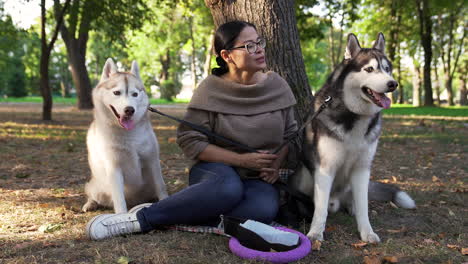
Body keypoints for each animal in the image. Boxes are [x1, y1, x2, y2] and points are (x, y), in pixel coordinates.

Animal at [83, 58, 169, 213]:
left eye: (135, 94)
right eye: (117, 92)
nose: (129, 110)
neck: (128, 136)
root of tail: (134, 201)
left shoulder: (152, 160)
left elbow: (161, 186)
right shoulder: (114, 167)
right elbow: (119, 198)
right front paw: (122, 214)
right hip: (97, 186)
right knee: (93, 195)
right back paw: (90, 204)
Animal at [290, 33, 414, 243]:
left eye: (387, 69)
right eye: (369, 69)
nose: (393, 84)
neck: (355, 116)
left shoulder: (362, 169)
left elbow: (364, 204)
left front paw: (367, 231)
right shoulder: (325, 169)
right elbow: (320, 209)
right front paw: (316, 233)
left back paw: (351, 207)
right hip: (306, 177)